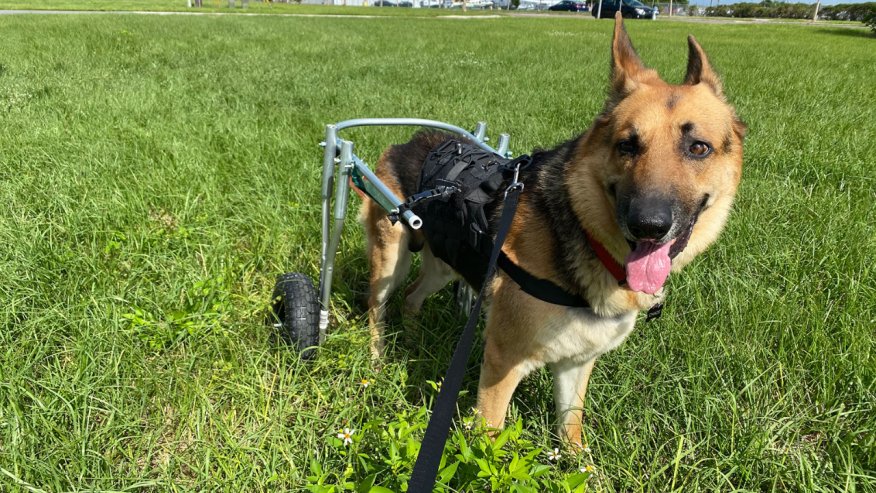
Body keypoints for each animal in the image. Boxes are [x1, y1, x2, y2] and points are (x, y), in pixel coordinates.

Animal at [360, 15, 744, 446]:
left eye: (698, 148)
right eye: (627, 145)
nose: (647, 225)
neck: (587, 234)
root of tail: (407, 140)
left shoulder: (575, 364)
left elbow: (572, 432)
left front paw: (577, 461)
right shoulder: (503, 361)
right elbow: (488, 444)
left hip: (443, 266)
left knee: (412, 297)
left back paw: (410, 338)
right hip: (389, 264)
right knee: (376, 310)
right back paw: (377, 362)